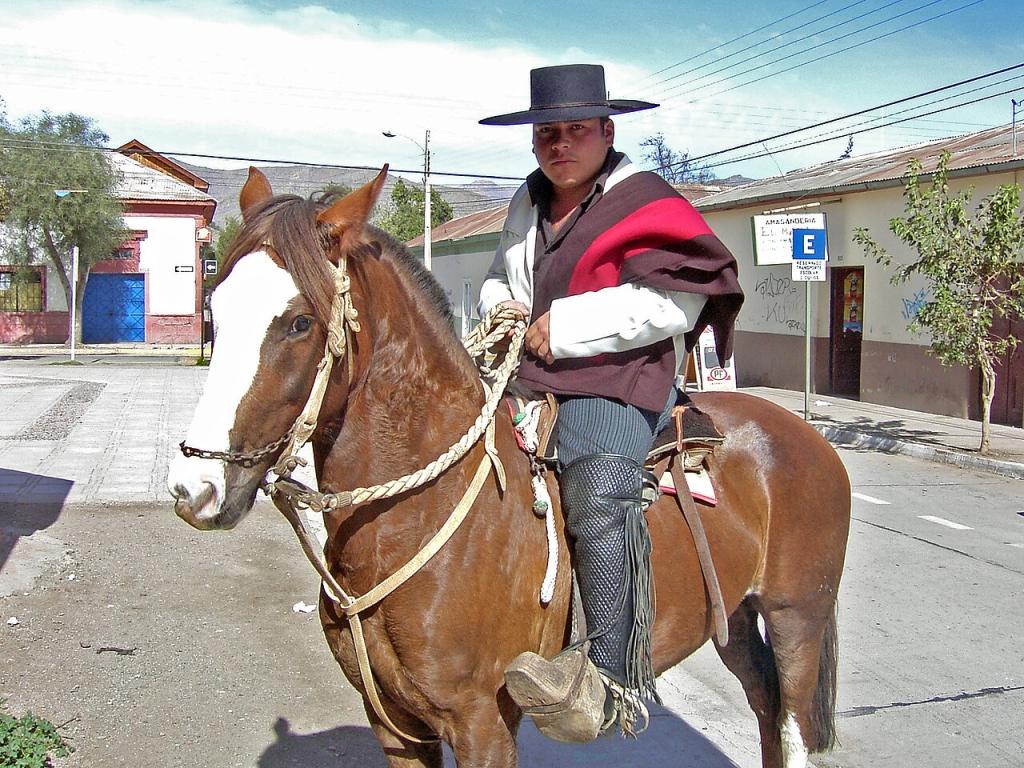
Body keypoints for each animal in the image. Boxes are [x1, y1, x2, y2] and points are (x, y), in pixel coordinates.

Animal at [168, 166, 851, 768]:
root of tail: (806, 438)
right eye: (217, 307)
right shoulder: (396, 726)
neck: (415, 517)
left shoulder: (482, 725)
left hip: (797, 618)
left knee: (790, 722)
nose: (195, 487)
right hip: (733, 614)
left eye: (299, 322)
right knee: (764, 707)